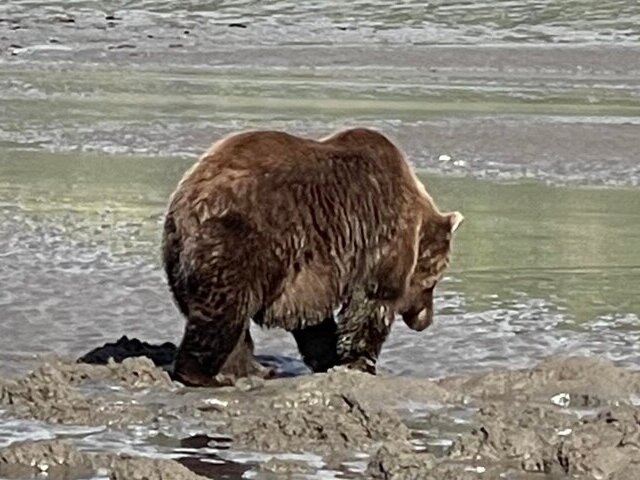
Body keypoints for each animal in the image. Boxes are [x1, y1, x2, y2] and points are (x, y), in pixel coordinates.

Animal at [162, 127, 462, 386]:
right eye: (433, 281)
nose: (425, 321)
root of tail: (188, 199)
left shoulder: (312, 273)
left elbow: (313, 320)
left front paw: (329, 357)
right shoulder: (381, 237)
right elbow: (371, 302)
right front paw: (360, 362)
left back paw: (255, 369)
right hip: (241, 239)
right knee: (223, 309)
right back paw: (206, 375)